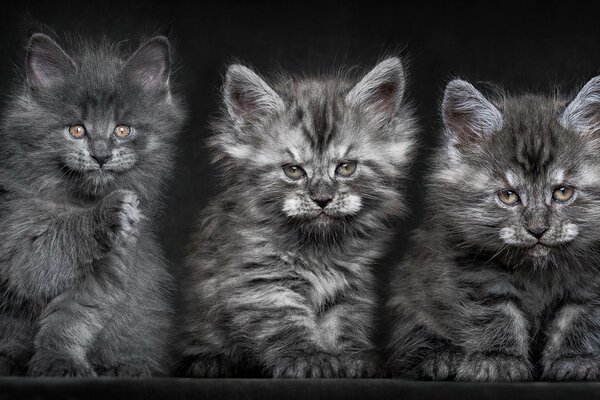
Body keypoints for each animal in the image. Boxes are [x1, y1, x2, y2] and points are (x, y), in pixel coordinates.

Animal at [0, 32, 185, 376]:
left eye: (123, 129)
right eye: (76, 130)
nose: (101, 155)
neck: (78, 200)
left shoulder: (110, 264)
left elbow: (72, 320)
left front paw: (60, 362)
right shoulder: (14, 239)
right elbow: (45, 252)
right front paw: (109, 211)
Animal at [176, 57, 414, 376]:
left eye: (346, 167)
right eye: (292, 170)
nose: (322, 199)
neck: (318, 247)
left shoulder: (349, 282)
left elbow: (343, 321)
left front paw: (350, 356)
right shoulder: (263, 281)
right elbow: (286, 323)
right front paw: (308, 357)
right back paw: (212, 360)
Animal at [386, 77, 600, 382]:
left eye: (562, 192)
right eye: (508, 196)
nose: (538, 229)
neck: (537, 271)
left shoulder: (589, 282)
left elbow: (578, 316)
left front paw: (576, 359)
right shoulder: (476, 274)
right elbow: (497, 315)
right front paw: (497, 360)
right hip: (411, 297)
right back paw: (442, 358)